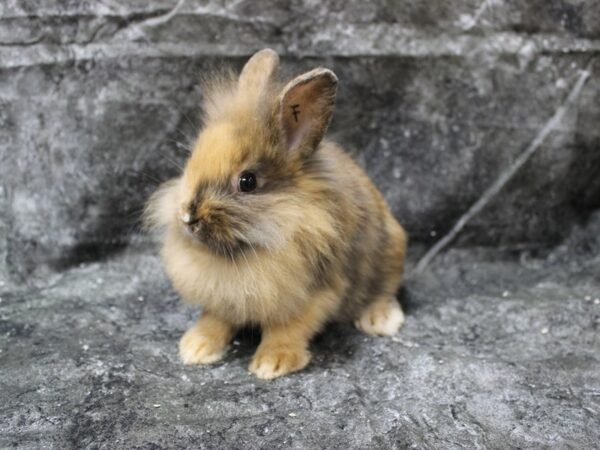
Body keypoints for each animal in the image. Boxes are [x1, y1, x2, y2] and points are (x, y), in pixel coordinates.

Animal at [145, 48, 408, 380]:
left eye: (247, 182)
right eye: (192, 161)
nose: (187, 216)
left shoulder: (313, 292)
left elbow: (287, 328)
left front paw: (272, 363)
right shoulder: (221, 297)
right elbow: (215, 319)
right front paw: (196, 347)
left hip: (390, 253)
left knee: (384, 290)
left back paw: (379, 320)